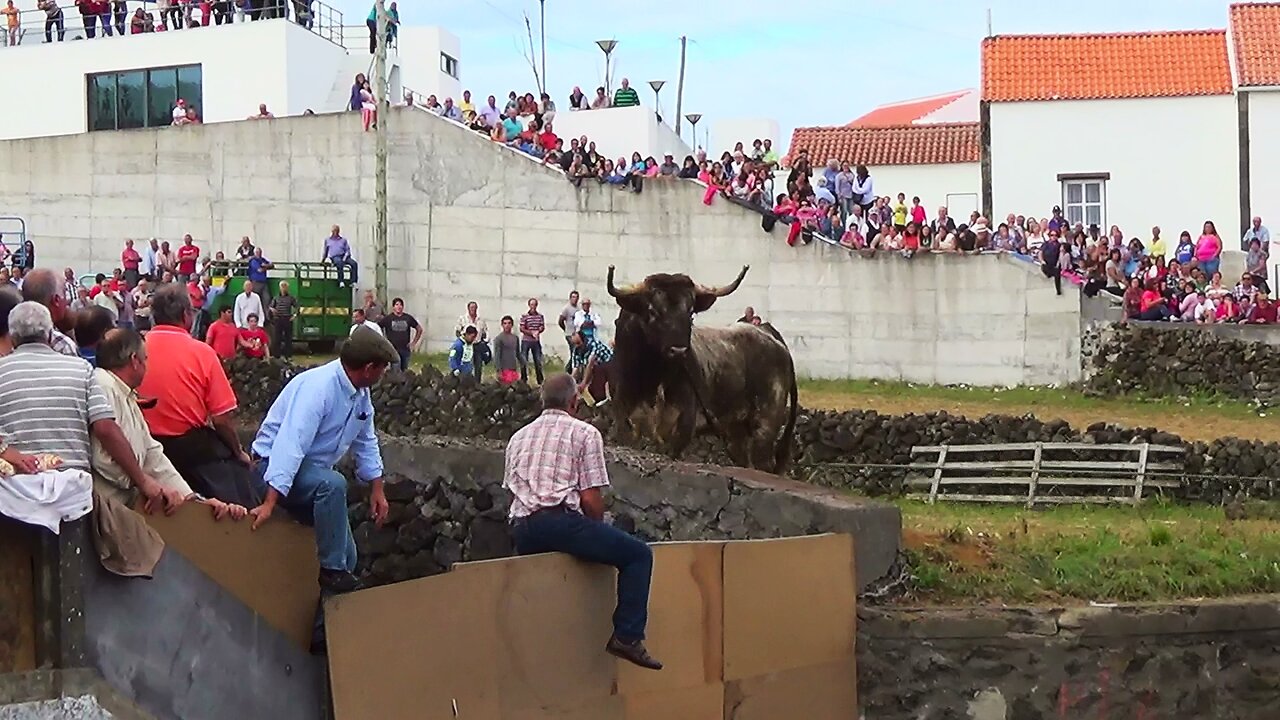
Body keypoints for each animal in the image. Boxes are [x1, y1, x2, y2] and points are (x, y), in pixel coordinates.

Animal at [601, 263, 798, 471]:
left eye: (690, 313)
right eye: (652, 311)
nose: (679, 350)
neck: (652, 376)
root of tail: (774, 339)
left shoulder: (681, 428)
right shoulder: (626, 423)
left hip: (766, 424)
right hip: (735, 433)